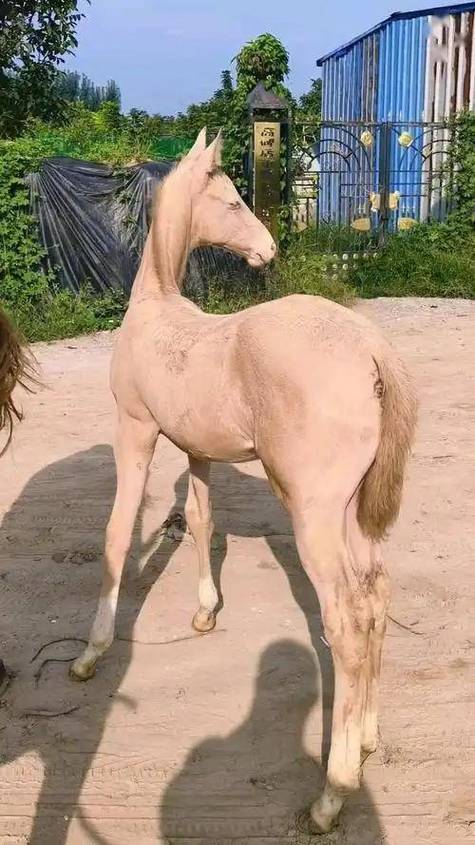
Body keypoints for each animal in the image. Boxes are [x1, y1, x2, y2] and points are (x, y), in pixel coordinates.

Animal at [71, 128, 417, 833]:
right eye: (231, 201)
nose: (268, 249)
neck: (156, 307)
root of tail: (371, 348)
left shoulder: (135, 431)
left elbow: (118, 534)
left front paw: (92, 652)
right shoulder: (197, 450)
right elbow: (202, 522)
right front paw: (205, 611)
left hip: (313, 513)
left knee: (344, 618)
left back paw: (332, 792)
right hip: (351, 511)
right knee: (375, 594)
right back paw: (367, 736)